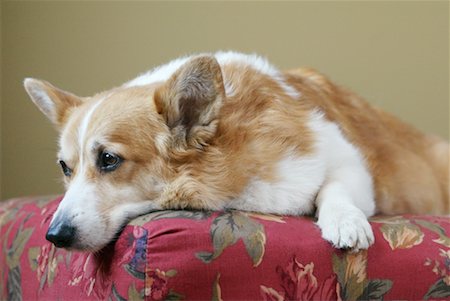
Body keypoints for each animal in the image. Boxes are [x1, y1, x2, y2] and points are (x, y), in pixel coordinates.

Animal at [23, 51, 446, 251]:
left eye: (109, 160)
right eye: (64, 167)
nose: (54, 236)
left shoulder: (350, 162)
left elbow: (334, 189)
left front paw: (346, 224)